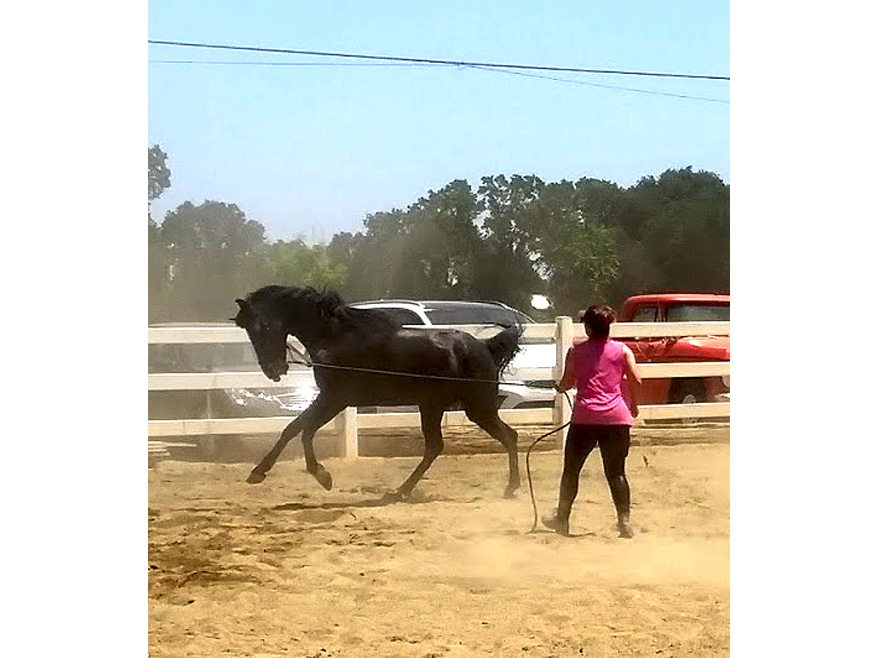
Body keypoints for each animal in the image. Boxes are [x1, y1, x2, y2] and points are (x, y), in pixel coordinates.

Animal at [232, 284, 524, 498]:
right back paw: (403, 490)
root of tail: (484, 346)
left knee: (505, 437)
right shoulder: (330, 399)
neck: (336, 338)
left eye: (261, 327)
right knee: (441, 446)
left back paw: (509, 488)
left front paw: (322, 476)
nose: (274, 370)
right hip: (435, 406)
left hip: (475, 408)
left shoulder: (334, 399)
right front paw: (259, 472)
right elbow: (292, 429)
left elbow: (304, 431)